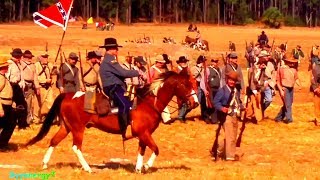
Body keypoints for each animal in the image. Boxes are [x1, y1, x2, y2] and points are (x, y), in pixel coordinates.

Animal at [25, 71, 199, 173]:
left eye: (195, 84)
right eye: (185, 85)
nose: (195, 103)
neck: (148, 102)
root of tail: (67, 95)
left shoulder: (144, 134)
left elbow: (142, 150)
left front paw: (138, 168)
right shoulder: (144, 133)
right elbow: (156, 149)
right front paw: (147, 166)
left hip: (66, 127)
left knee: (53, 141)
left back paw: (45, 164)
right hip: (78, 129)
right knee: (76, 147)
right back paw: (88, 168)